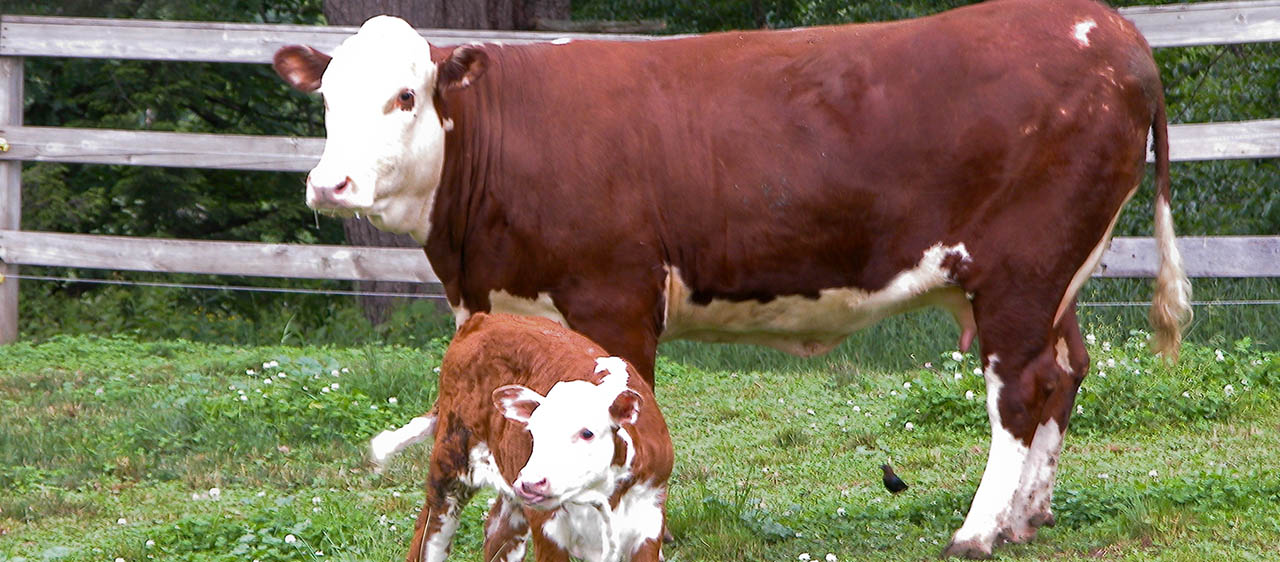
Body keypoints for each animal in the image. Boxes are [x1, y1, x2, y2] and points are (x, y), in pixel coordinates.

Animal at [373, 312, 675, 562]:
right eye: (533, 432)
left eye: (587, 432)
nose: (532, 483)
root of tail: (483, 319)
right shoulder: (548, 529)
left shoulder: (648, 521)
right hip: (450, 460)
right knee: (430, 532)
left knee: (498, 531)